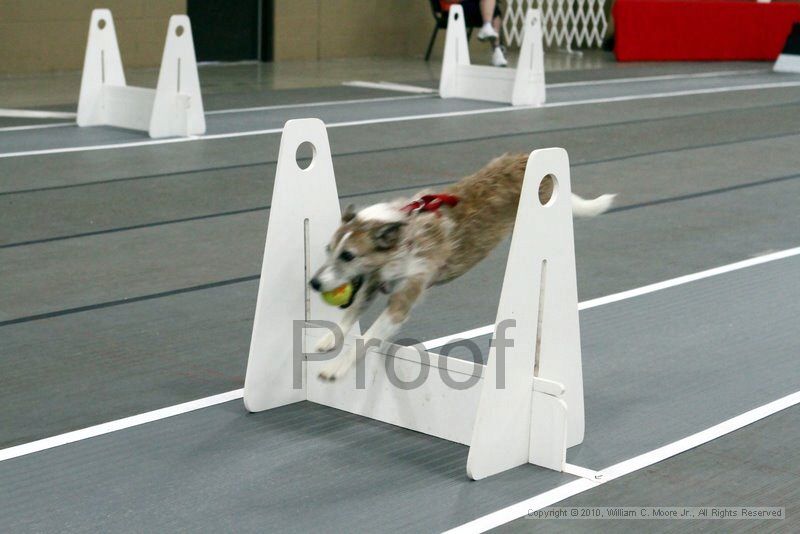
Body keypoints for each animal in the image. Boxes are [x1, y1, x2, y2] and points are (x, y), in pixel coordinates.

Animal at [308, 153, 612, 384]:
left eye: (348, 255)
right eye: (329, 250)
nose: (314, 283)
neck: (404, 237)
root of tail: (525, 157)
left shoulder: (401, 302)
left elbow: (366, 338)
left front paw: (335, 368)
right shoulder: (373, 282)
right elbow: (351, 314)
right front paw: (327, 339)